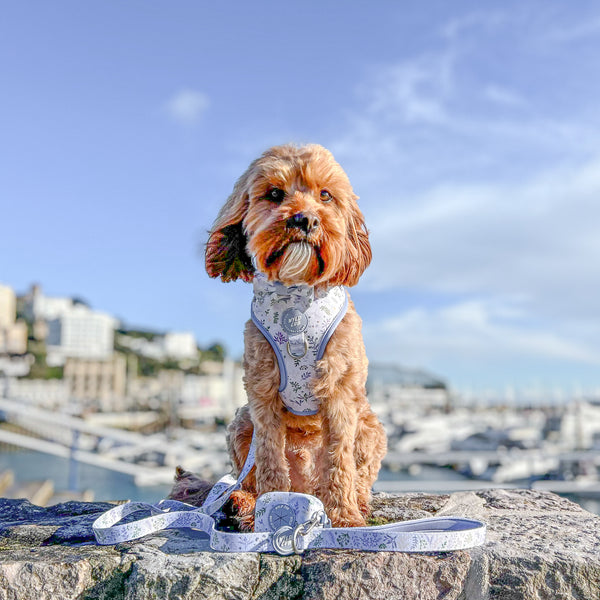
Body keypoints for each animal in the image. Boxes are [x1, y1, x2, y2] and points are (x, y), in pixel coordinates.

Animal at [204, 143, 386, 528]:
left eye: (326, 195)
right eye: (275, 194)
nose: (305, 220)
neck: (297, 300)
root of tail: (307, 489)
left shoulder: (339, 390)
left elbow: (339, 462)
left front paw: (345, 519)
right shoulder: (263, 392)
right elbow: (270, 460)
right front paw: (270, 509)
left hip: (371, 428)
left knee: (358, 474)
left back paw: (358, 504)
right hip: (241, 423)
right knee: (250, 473)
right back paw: (244, 502)